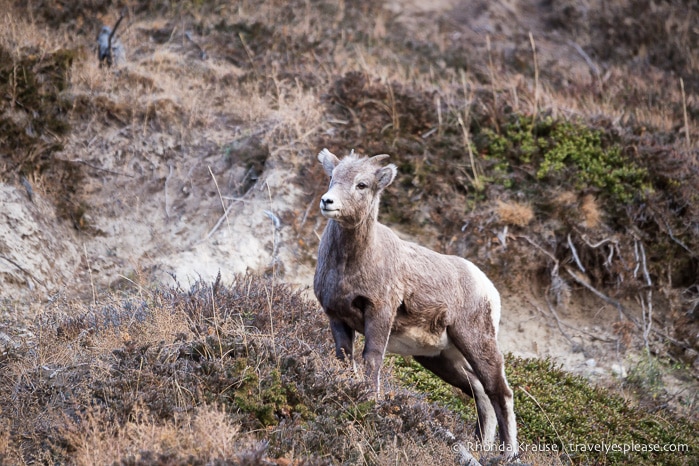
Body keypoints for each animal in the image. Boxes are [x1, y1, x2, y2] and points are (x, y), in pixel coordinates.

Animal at [318, 149, 520, 458]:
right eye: (332, 177)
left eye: (362, 184)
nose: (328, 202)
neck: (349, 264)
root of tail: (488, 288)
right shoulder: (337, 318)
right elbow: (344, 359)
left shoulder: (379, 313)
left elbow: (371, 360)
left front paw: (370, 400)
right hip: (439, 357)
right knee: (478, 390)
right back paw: (481, 447)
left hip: (476, 341)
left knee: (499, 391)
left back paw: (506, 454)